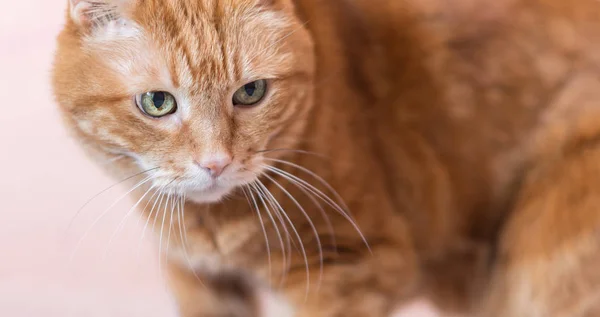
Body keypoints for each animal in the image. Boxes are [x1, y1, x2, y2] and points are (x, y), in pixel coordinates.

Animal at [50, 0, 600, 314]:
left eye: (250, 92)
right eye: (157, 103)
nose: (215, 163)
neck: (213, 227)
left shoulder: (349, 271)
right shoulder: (196, 279)